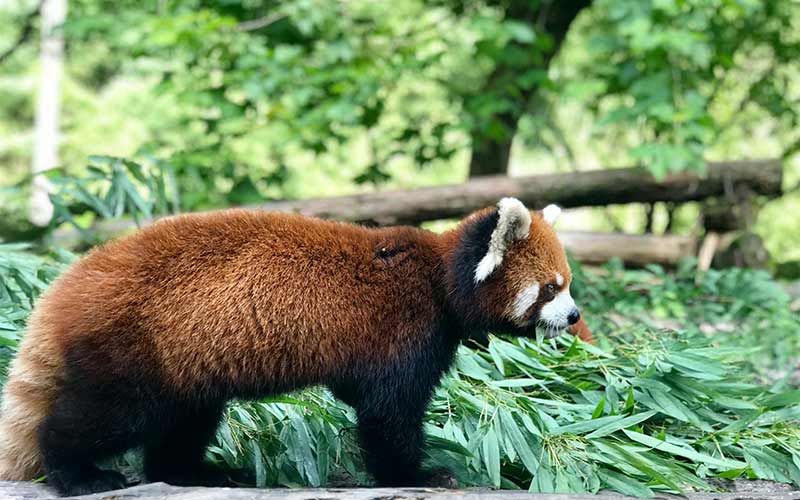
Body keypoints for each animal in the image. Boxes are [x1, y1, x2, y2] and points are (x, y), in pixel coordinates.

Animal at [0, 197, 581, 496]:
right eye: (551, 288)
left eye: (567, 284)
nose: (574, 316)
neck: (441, 278)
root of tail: (63, 293)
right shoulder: (401, 333)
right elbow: (387, 415)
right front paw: (417, 474)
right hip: (134, 352)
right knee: (103, 417)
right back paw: (78, 474)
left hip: (186, 364)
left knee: (184, 423)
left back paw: (195, 472)